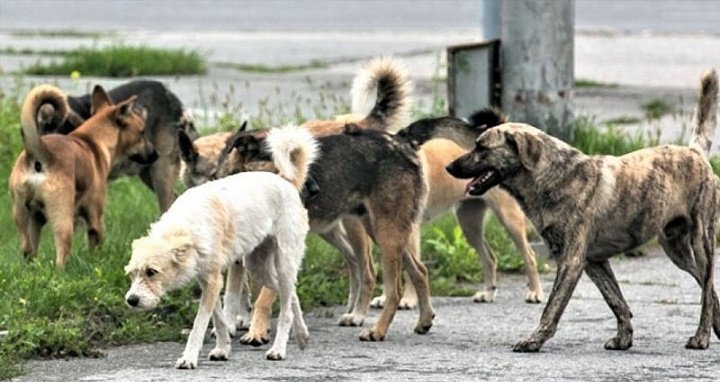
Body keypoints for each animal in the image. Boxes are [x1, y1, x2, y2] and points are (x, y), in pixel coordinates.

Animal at [8, 84, 156, 268]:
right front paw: (96, 262)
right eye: (142, 132)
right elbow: (95, 245)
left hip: (23, 217)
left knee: (28, 249)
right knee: (61, 255)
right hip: (63, 220)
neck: (93, 141)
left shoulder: (36, 220)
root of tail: (39, 153)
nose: (155, 154)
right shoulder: (95, 219)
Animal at [124, 124, 318, 368]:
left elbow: (199, 324)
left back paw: (278, 349)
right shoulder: (209, 281)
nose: (131, 300)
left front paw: (189, 357)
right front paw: (222, 349)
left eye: (152, 272)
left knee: (285, 310)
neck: (185, 227)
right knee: (290, 295)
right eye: (132, 274)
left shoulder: (213, 282)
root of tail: (286, 181)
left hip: (283, 262)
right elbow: (219, 319)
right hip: (258, 267)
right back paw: (302, 335)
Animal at [448, 69, 716, 352]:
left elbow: (552, 307)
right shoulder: (593, 262)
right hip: (676, 250)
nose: (449, 166)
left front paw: (534, 340)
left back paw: (701, 337)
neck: (554, 176)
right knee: (708, 288)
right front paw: (624, 337)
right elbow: (616, 301)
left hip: (701, 243)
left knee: (707, 289)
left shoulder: (571, 262)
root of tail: (695, 152)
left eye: (481, 147)